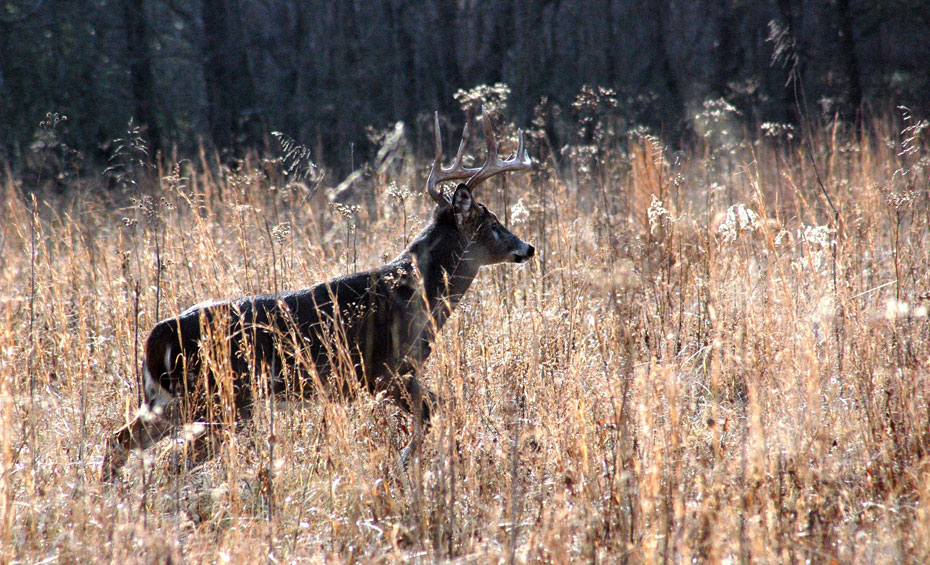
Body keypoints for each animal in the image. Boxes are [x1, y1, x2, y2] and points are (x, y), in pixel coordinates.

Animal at [99, 108, 536, 478]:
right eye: (493, 223)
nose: (528, 247)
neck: (418, 296)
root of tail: (157, 336)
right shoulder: (386, 370)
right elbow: (433, 412)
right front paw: (403, 467)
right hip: (222, 396)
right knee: (177, 459)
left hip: (170, 399)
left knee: (119, 440)